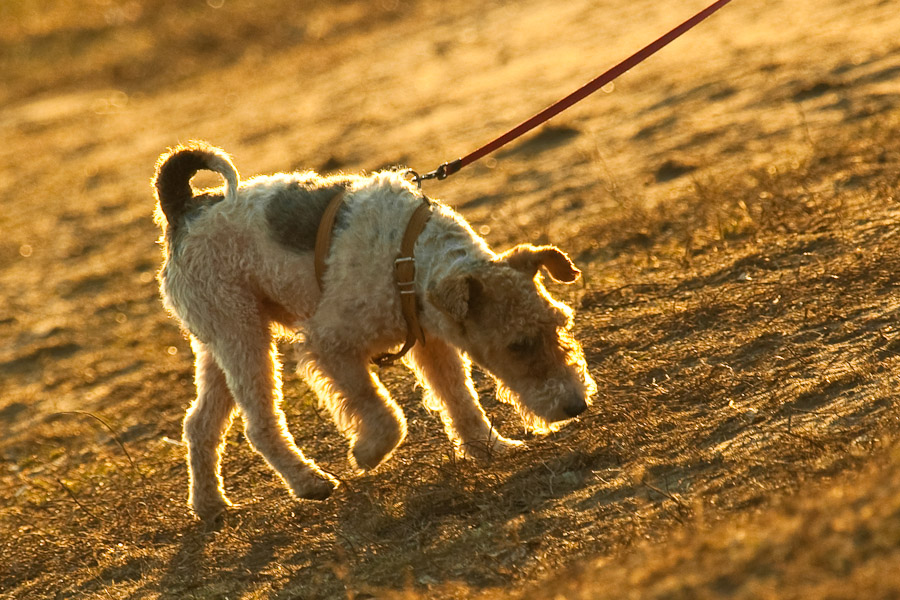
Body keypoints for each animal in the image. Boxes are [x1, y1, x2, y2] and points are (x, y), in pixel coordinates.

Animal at [152, 143, 596, 516]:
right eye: (517, 344)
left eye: (560, 323)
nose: (577, 406)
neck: (410, 259)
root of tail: (184, 206)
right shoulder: (329, 344)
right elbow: (386, 415)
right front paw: (365, 453)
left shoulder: (432, 342)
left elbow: (460, 399)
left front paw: (492, 447)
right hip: (242, 335)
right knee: (259, 425)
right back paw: (310, 482)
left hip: (222, 339)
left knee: (199, 424)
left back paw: (210, 504)